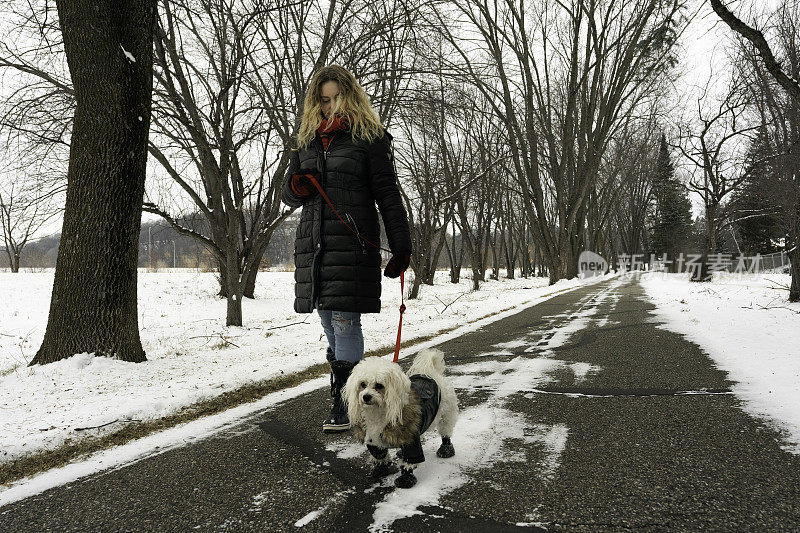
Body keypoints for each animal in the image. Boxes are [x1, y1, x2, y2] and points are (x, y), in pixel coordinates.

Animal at [342, 348, 460, 488]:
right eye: (362, 384)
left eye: (379, 385)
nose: (366, 397)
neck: (378, 413)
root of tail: (432, 375)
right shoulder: (373, 439)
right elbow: (380, 455)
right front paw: (380, 469)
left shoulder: (410, 439)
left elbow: (409, 460)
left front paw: (406, 479)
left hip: (446, 416)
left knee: (445, 433)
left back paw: (446, 450)